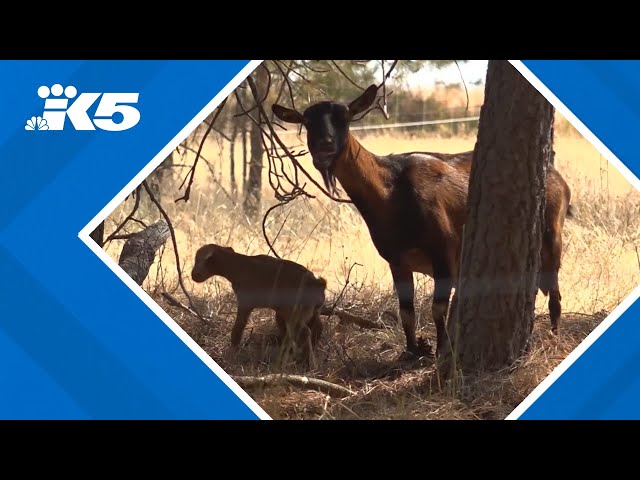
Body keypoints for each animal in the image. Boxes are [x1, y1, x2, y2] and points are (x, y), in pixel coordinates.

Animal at [190, 246, 324, 366]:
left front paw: (231, 354)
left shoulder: (245, 303)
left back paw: (309, 364)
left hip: (293, 311)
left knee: (304, 332)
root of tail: (318, 283)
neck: (237, 265)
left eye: (203, 260)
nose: (194, 275)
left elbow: (237, 329)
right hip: (307, 312)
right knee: (315, 328)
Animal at [272, 84, 572, 358]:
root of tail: (559, 180)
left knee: (555, 293)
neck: (392, 193)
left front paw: (440, 348)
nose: (324, 148)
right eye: (306, 122)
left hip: (551, 237)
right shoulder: (397, 260)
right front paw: (413, 349)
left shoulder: (443, 252)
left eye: (344, 118)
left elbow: (437, 307)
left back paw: (555, 337)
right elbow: (406, 310)